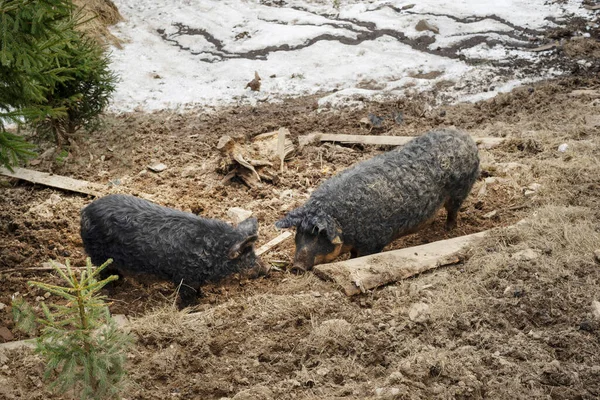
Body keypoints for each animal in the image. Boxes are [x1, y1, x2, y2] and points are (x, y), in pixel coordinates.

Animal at [79, 194, 260, 310]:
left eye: (254, 253)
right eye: (246, 258)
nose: (265, 270)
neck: (211, 253)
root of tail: (85, 211)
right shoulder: (185, 277)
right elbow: (187, 296)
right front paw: (192, 308)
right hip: (98, 255)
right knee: (104, 272)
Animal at [278, 128, 482, 272]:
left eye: (319, 236)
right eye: (299, 233)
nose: (296, 267)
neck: (345, 222)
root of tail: (465, 136)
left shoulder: (374, 241)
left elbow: (359, 258)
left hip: (461, 189)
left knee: (453, 210)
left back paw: (448, 230)